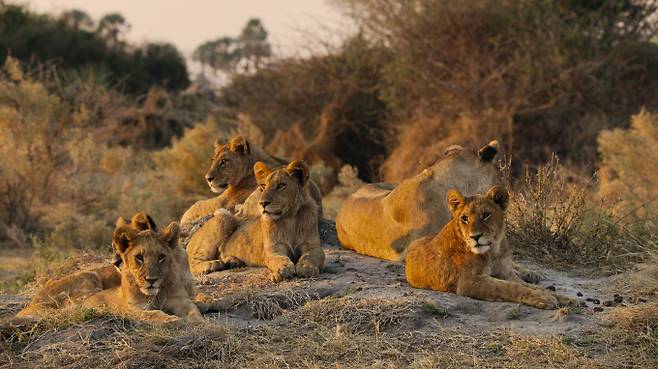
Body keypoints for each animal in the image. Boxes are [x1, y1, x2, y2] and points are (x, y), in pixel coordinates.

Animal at [179, 134, 322, 223]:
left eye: (224, 161)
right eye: (213, 160)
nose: (208, 178)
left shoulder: (224, 201)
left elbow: (196, 205)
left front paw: (183, 219)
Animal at [186, 160, 324, 280]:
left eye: (280, 185)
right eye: (263, 186)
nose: (263, 203)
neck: (289, 218)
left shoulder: (313, 247)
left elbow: (309, 257)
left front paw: (307, 268)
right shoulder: (273, 250)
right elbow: (279, 259)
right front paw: (283, 269)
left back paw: (232, 261)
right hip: (225, 217)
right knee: (193, 263)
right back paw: (212, 265)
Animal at [402, 185, 572, 310]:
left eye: (486, 215)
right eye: (464, 218)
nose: (475, 237)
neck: (493, 251)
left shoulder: (506, 273)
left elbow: (523, 284)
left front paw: (567, 299)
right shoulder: (469, 282)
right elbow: (510, 288)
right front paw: (546, 298)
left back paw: (532, 274)